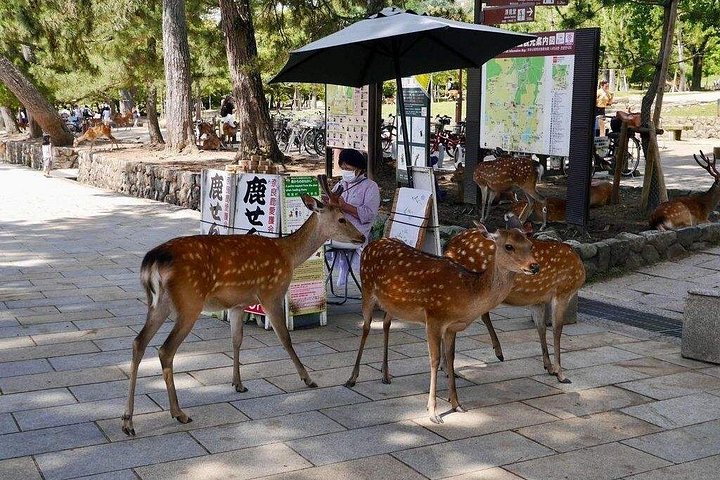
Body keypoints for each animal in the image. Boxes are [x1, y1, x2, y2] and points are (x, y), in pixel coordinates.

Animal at [121, 178, 365, 436]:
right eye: (342, 218)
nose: (361, 237)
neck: (288, 255)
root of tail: (152, 262)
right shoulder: (271, 293)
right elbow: (285, 338)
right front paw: (308, 378)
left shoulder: (237, 304)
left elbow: (236, 340)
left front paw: (238, 383)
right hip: (189, 303)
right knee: (165, 350)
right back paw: (179, 413)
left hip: (158, 303)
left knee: (138, 343)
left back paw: (128, 421)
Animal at [345, 225, 539, 424]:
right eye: (509, 246)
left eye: (530, 245)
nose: (534, 266)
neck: (468, 294)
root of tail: (371, 244)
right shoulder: (434, 318)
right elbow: (435, 360)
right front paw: (433, 412)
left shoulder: (451, 327)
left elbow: (451, 358)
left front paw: (456, 404)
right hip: (367, 289)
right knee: (366, 328)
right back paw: (352, 378)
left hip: (392, 304)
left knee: (386, 324)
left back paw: (385, 374)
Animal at [443, 216, 586, 384]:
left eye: (530, 246)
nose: (535, 267)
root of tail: (449, 248)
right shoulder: (563, 291)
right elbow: (557, 330)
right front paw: (561, 374)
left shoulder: (537, 300)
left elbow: (541, 328)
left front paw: (549, 367)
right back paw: (449, 369)